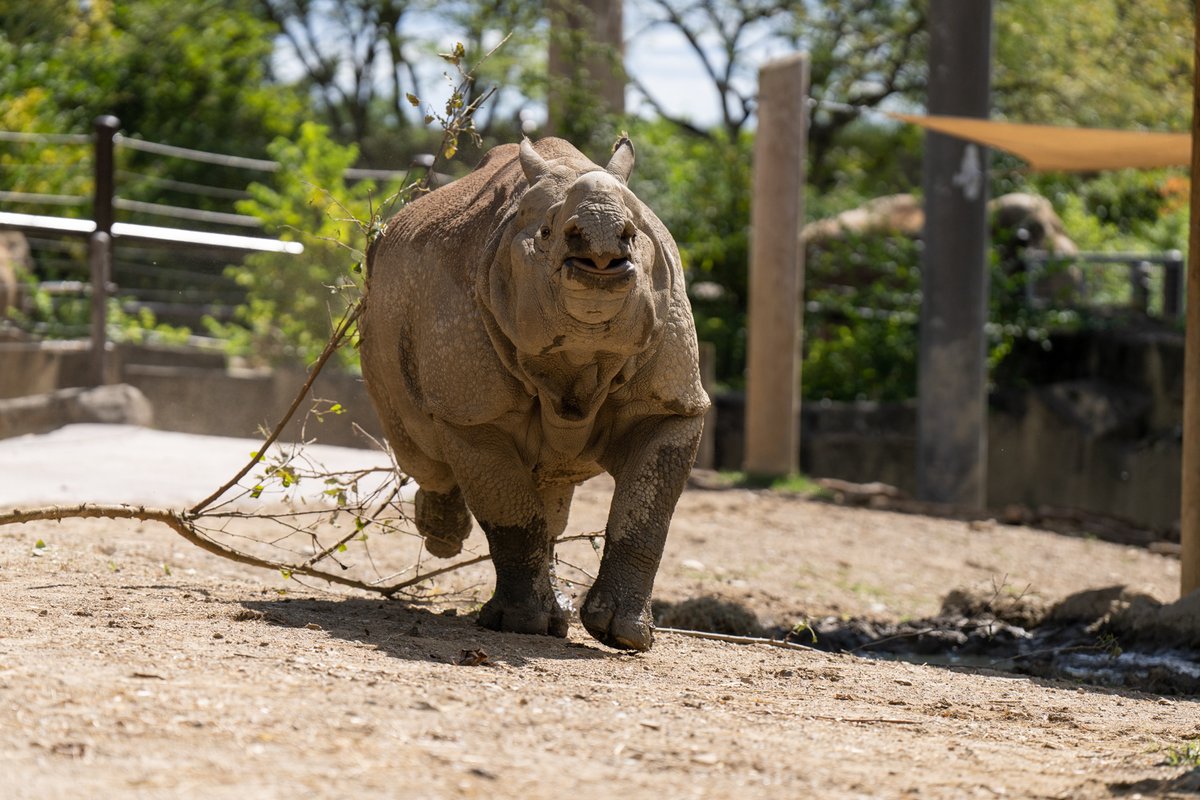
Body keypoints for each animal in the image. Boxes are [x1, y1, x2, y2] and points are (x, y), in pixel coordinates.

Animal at [360, 136, 705, 652]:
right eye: (545, 233)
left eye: (634, 234)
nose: (603, 245)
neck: (580, 357)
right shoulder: (474, 411)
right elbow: (511, 513)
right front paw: (522, 624)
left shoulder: (671, 404)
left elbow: (646, 514)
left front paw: (626, 635)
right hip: (380, 301)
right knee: (420, 449)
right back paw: (443, 538)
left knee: (552, 489)